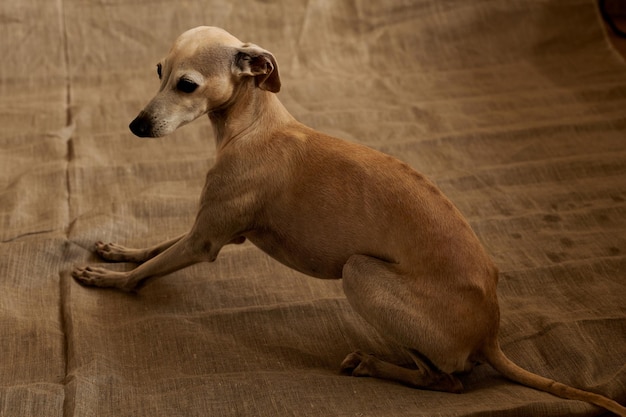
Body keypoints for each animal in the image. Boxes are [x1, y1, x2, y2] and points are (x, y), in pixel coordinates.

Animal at [73, 26, 624, 416]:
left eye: (188, 84)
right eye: (158, 71)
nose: (136, 126)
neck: (255, 127)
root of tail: (490, 330)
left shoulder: (206, 241)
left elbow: (147, 271)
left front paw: (107, 280)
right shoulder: (209, 228)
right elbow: (156, 247)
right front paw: (116, 252)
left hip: (360, 273)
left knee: (445, 380)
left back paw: (372, 364)